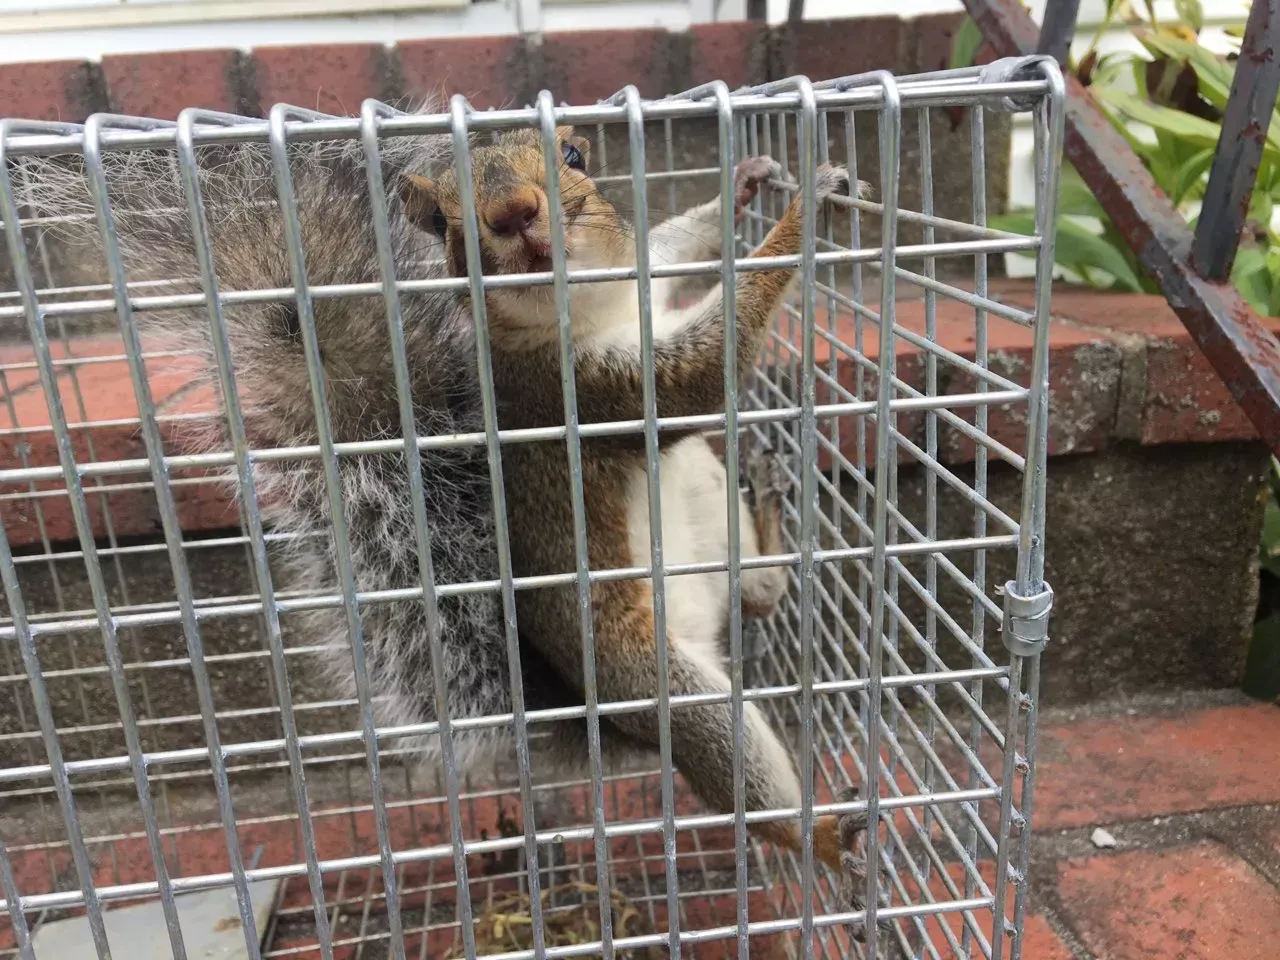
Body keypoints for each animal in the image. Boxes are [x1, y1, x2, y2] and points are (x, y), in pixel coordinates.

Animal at [399, 126, 885, 935]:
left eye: (574, 157)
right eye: (438, 222)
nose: (514, 213)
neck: (595, 304)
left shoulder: (649, 272)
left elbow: (677, 240)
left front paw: (743, 186)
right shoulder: (589, 393)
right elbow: (705, 367)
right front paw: (805, 215)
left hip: (713, 509)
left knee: (757, 593)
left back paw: (771, 511)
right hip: (674, 692)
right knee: (744, 788)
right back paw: (818, 836)